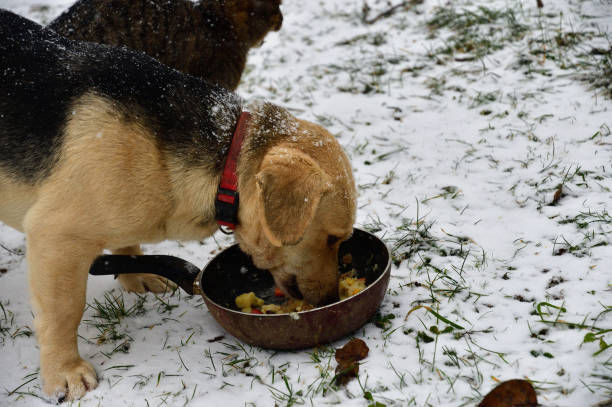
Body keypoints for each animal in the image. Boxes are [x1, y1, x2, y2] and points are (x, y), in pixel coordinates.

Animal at [0, 11, 356, 404]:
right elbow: (63, 313)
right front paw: (64, 372)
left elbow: (126, 244)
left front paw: (135, 273)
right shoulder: (56, 237)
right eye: (333, 239)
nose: (332, 298)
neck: (225, 159)